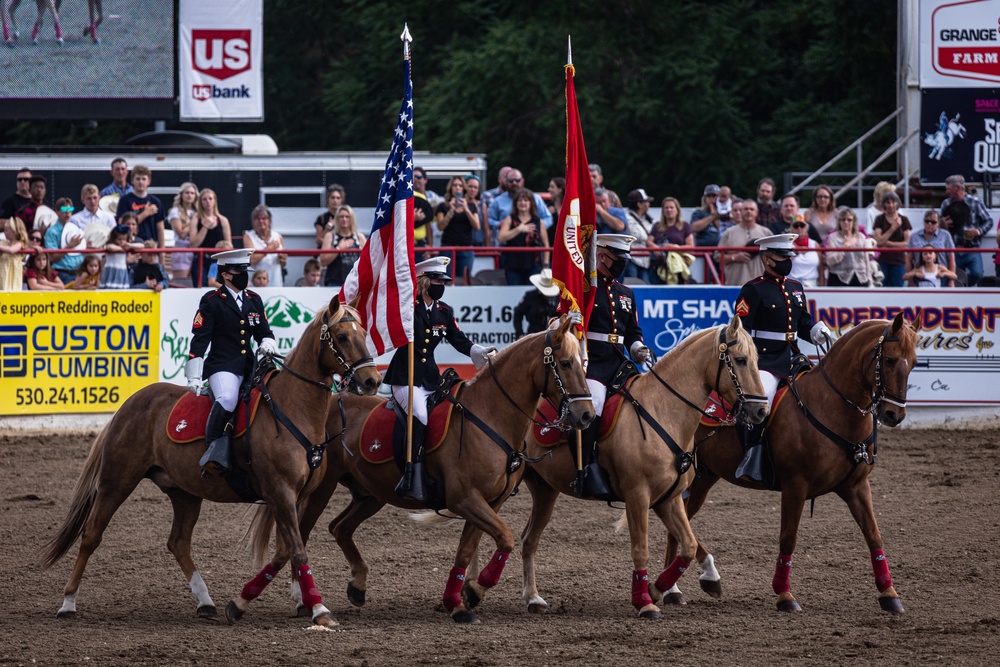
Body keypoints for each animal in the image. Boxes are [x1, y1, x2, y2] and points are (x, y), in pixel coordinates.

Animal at [42, 294, 378, 628]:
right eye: (342, 336)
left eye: (364, 334)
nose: (372, 381)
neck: (293, 410)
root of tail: (131, 403)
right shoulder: (280, 493)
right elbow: (296, 551)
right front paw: (317, 609)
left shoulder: (298, 496)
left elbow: (286, 551)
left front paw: (266, 602)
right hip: (117, 482)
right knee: (91, 535)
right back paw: (68, 603)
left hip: (184, 492)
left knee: (178, 542)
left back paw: (205, 601)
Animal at [249, 316, 592, 624]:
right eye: (564, 364)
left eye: (583, 363)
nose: (586, 415)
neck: (490, 415)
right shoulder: (465, 499)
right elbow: (505, 538)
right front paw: (474, 591)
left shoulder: (487, 502)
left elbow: (467, 550)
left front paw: (457, 601)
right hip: (322, 489)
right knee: (301, 535)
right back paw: (304, 600)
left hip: (371, 494)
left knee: (339, 528)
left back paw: (357, 586)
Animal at [512, 316, 768, 620]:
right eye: (740, 360)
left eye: (756, 359)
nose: (761, 411)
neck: (662, 411)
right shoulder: (638, 495)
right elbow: (641, 549)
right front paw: (644, 600)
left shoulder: (669, 498)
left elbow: (688, 545)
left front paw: (659, 589)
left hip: (545, 491)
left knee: (528, 539)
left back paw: (532, 597)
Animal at [668, 314, 916, 616]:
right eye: (889, 360)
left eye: (914, 362)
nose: (894, 414)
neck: (830, 406)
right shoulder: (795, 486)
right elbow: (788, 537)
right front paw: (784, 594)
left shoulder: (856, 486)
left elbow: (874, 535)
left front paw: (889, 593)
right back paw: (674, 589)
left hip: (705, 477)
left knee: (680, 521)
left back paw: (693, 582)